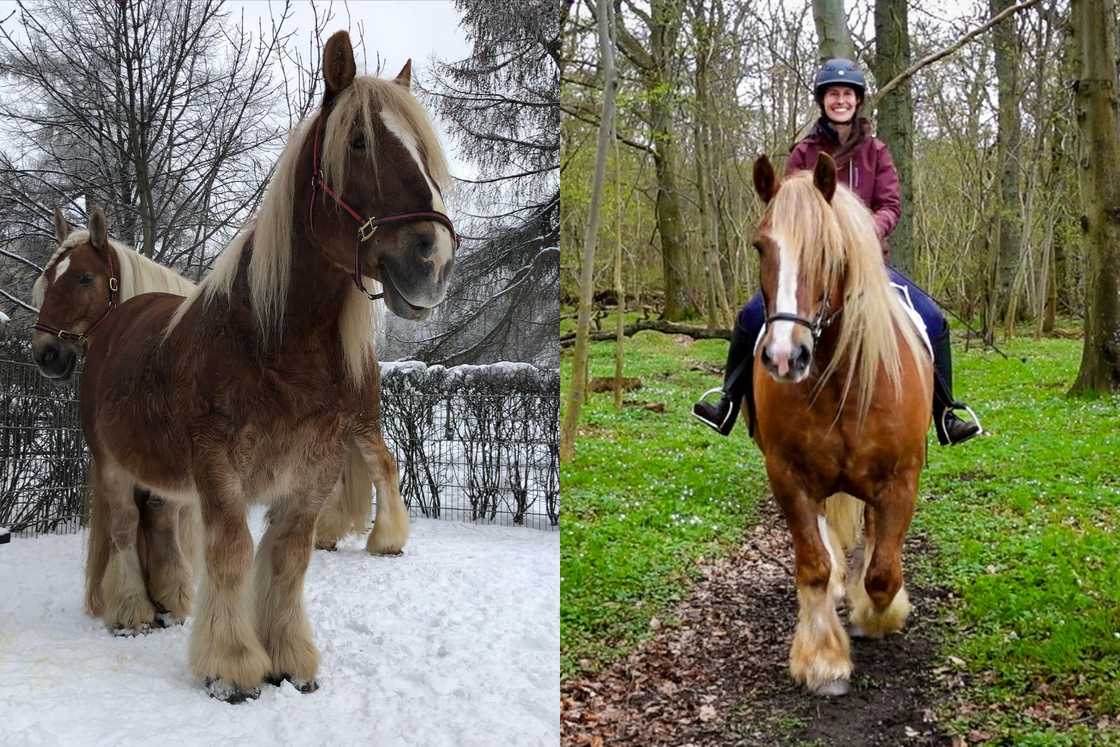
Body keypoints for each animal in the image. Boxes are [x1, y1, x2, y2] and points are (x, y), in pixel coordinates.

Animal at [30, 208, 399, 634]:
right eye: (47, 278)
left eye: (84, 277)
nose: (46, 354)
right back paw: (326, 533)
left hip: (360, 426)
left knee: (383, 466)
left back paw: (387, 540)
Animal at [71, 30, 454, 701]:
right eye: (358, 141)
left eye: (421, 149)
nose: (431, 260)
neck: (273, 346)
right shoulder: (219, 470)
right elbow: (231, 554)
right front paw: (230, 666)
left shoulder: (312, 471)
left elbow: (288, 557)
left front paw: (289, 658)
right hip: (114, 466)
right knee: (120, 528)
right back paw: (132, 611)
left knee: (158, 525)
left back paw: (170, 601)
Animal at [748, 153, 932, 697]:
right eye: (760, 246)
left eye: (828, 250)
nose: (784, 357)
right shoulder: (787, 476)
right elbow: (812, 565)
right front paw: (823, 659)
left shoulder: (901, 479)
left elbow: (883, 572)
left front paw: (876, 615)